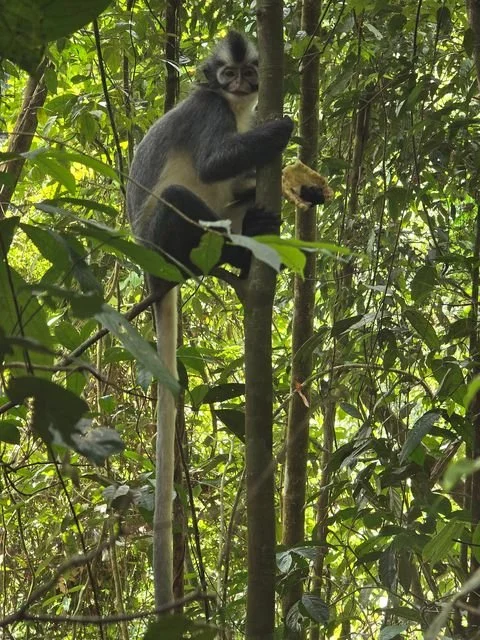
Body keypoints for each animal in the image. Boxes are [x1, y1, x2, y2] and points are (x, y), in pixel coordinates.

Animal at [126, 31, 295, 608]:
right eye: (227, 76)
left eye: (249, 73)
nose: (242, 85)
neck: (233, 107)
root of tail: (153, 277)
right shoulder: (209, 109)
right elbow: (212, 164)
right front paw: (282, 130)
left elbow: (238, 180)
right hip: (161, 243)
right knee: (182, 196)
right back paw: (232, 255)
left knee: (240, 200)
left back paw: (249, 248)